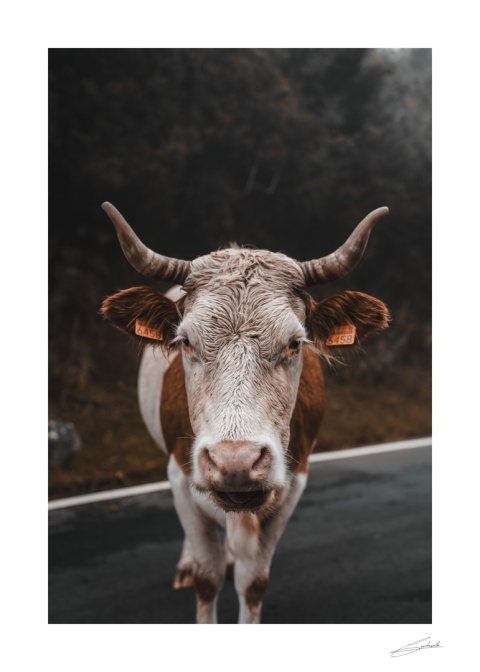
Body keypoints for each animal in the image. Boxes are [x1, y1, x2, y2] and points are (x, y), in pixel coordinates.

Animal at [100, 202, 390, 624]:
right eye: (185, 341)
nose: (234, 462)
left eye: (295, 342)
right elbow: (207, 576)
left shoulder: (293, 484)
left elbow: (253, 582)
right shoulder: (180, 477)